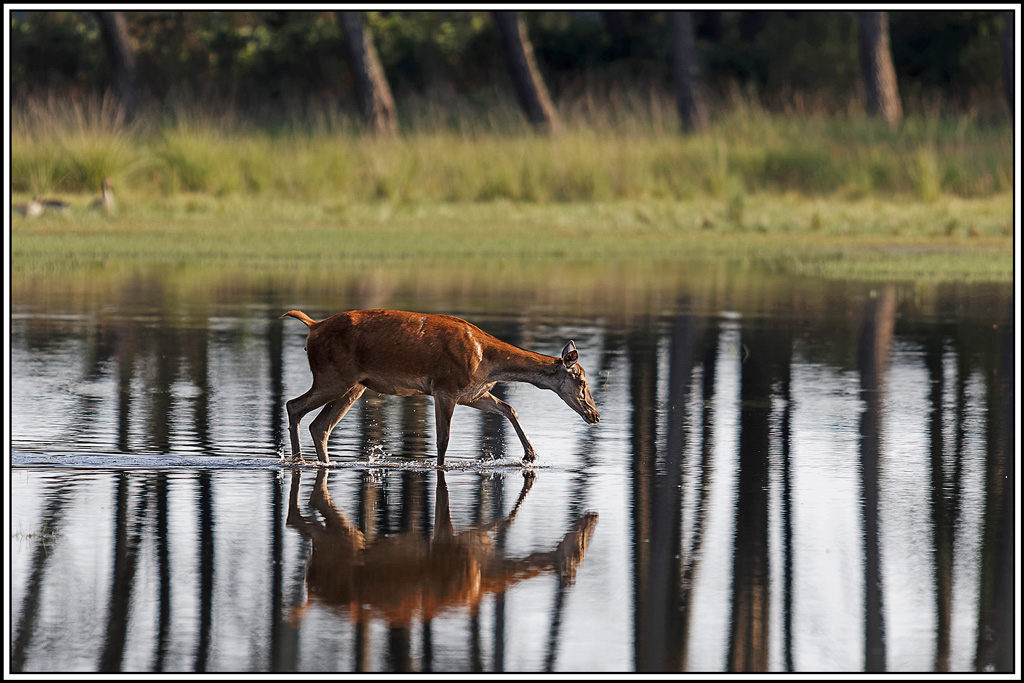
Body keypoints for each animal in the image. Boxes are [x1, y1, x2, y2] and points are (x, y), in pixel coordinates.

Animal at [281, 308, 600, 466]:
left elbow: (509, 407)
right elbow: (443, 439)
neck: (487, 361)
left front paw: (530, 455)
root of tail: (312, 326)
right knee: (294, 405)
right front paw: (440, 466)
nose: (595, 415)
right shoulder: (445, 388)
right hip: (332, 376)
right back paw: (297, 460)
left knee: (320, 425)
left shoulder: (473, 393)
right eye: (582, 381)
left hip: (354, 385)